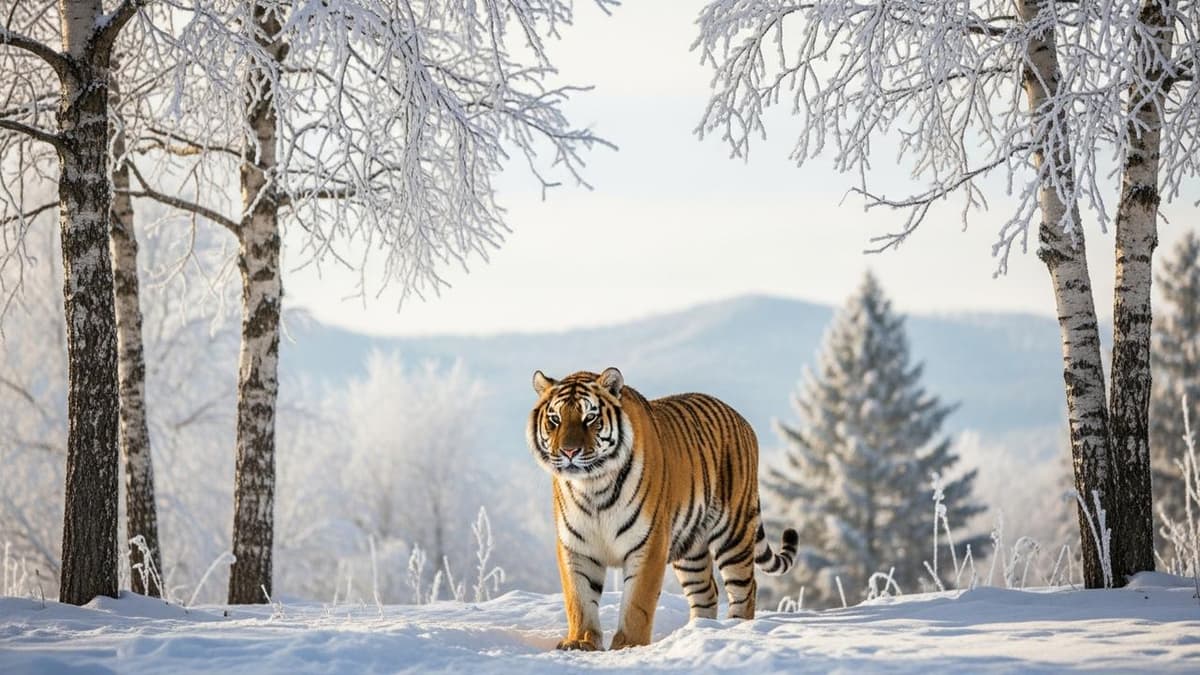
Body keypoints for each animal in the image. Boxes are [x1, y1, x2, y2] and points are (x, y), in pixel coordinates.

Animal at [526, 367, 798, 650]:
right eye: (555, 419)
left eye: (590, 417)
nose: (569, 451)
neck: (593, 487)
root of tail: (742, 420)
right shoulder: (576, 546)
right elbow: (578, 598)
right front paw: (581, 641)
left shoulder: (649, 543)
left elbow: (637, 602)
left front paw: (628, 646)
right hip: (691, 550)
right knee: (707, 592)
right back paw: (698, 632)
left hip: (733, 534)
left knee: (745, 588)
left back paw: (735, 630)